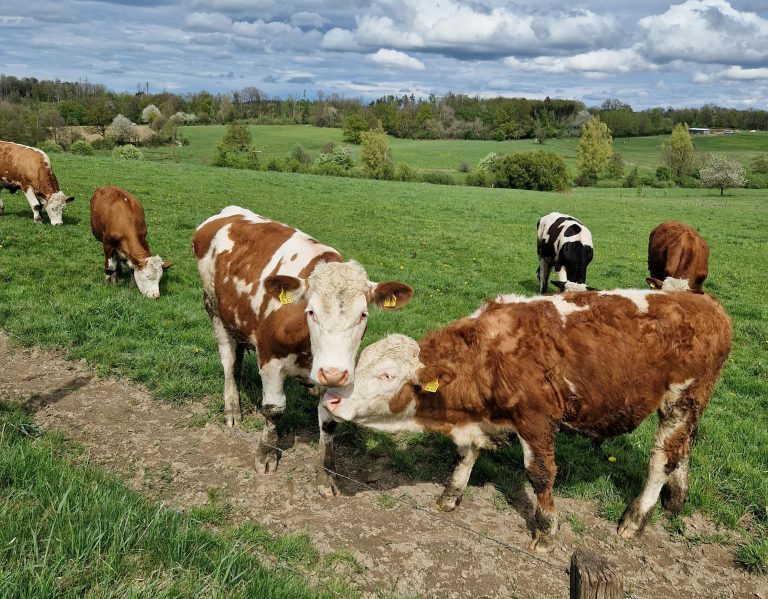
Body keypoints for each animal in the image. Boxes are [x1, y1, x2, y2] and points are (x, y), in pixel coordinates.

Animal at [192, 205, 413, 496]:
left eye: (363, 314)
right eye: (311, 311)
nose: (332, 372)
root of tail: (228, 212)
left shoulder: (339, 372)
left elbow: (329, 422)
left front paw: (326, 475)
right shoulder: (270, 358)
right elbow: (274, 409)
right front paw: (266, 454)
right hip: (215, 310)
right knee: (228, 363)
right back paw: (232, 409)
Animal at [322, 289, 731, 552]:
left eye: (387, 375)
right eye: (361, 361)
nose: (332, 397)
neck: (487, 353)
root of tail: (705, 302)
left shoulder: (536, 420)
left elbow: (540, 475)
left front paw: (546, 530)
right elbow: (465, 456)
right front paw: (450, 496)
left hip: (681, 399)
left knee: (661, 460)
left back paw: (635, 518)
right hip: (689, 406)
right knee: (682, 449)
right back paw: (677, 498)